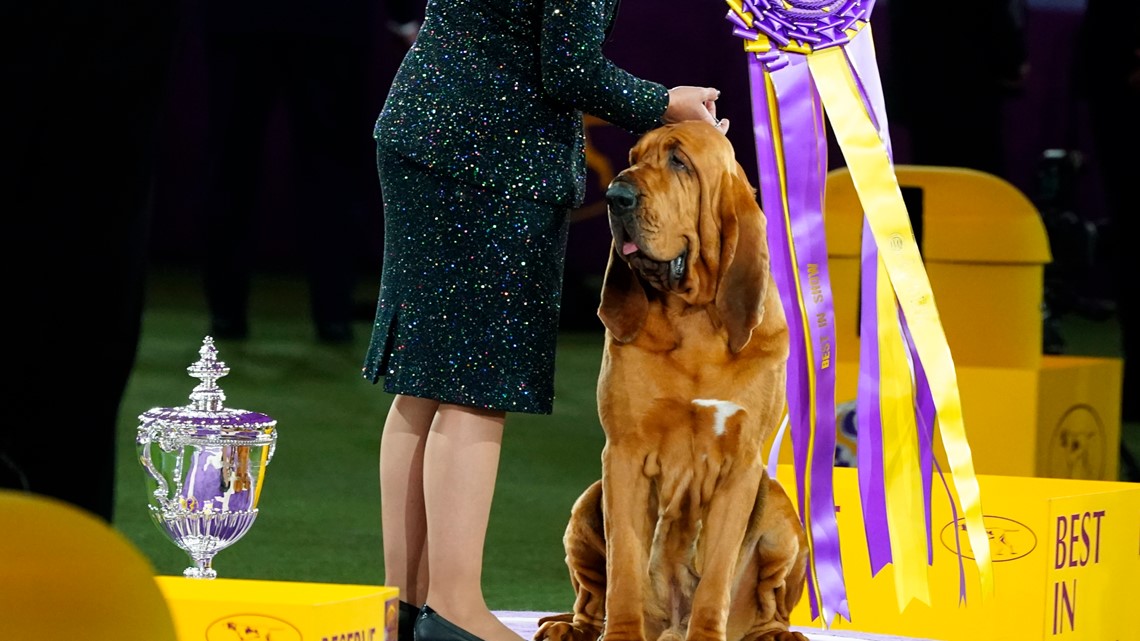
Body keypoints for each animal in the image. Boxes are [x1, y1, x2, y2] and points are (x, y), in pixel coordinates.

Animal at [535, 122, 811, 638]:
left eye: (679, 162)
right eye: (633, 157)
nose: (615, 196)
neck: (694, 318)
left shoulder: (741, 469)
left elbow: (717, 575)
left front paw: (707, 634)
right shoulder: (623, 455)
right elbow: (624, 563)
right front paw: (621, 634)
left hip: (780, 513)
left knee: (770, 602)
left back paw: (775, 632)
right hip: (587, 504)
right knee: (590, 597)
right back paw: (571, 628)